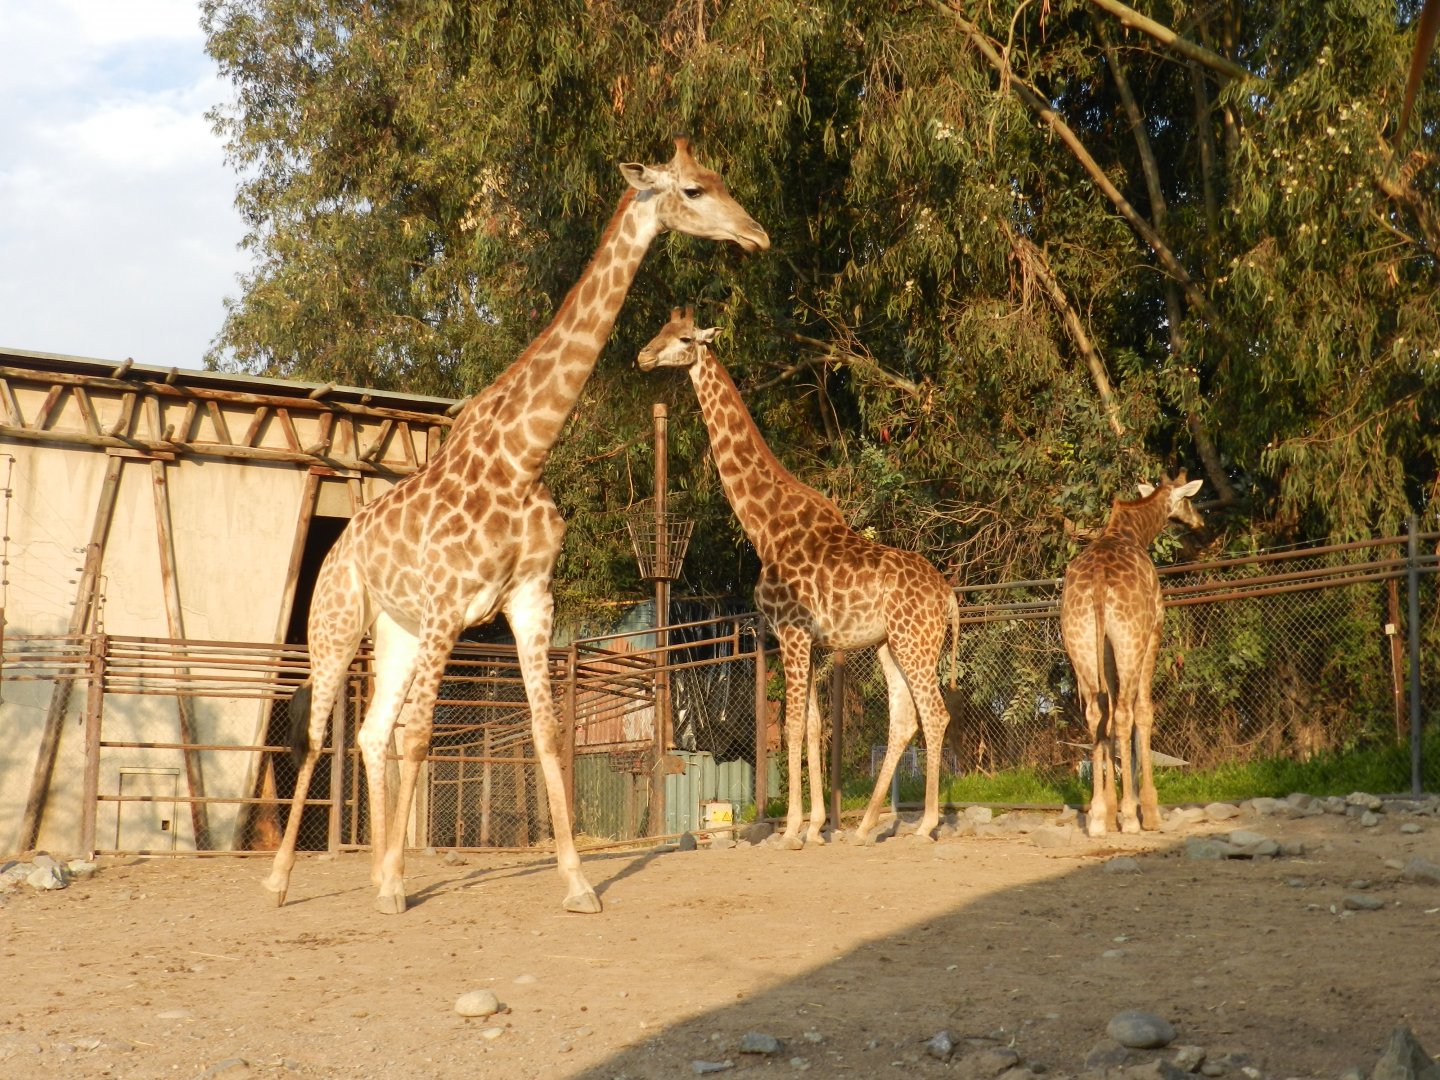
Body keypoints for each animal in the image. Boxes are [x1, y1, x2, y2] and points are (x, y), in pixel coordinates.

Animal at [263, 142, 769, 915]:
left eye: (720, 180)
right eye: (691, 190)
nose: (756, 235)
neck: (523, 452)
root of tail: (340, 547)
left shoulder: (530, 598)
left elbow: (547, 732)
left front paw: (578, 883)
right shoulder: (449, 604)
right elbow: (422, 736)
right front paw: (397, 888)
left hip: (397, 629)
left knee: (372, 733)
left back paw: (374, 870)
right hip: (338, 621)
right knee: (324, 735)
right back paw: (283, 880)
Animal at [637, 309, 960, 848]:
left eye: (682, 338)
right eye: (658, 330)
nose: (642, 356)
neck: (765, 526)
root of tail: (950, 596)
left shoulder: (790, 629)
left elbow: (789, 726)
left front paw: (790, 830)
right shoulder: (807, 636)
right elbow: (811, 725)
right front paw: (814, 827)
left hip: (916, 641)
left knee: (934, 714)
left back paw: (927, 825)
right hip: (891, 644)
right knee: (903, 719)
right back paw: (865, 827)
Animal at [1059, 471, 1204, 838]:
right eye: (1189, 499)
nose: (1199, 521)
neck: (1131, 531)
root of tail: (1098, 583)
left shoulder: (1107, 652)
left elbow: (1107, 718)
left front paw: (1110, 811)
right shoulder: (1154, 631)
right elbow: (1144, 711)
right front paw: (1146, 810)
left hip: (1080, 641)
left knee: (1097, 714)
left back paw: (1098, 817)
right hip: (1130, 639)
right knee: (1125, 711)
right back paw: (1131, 817)